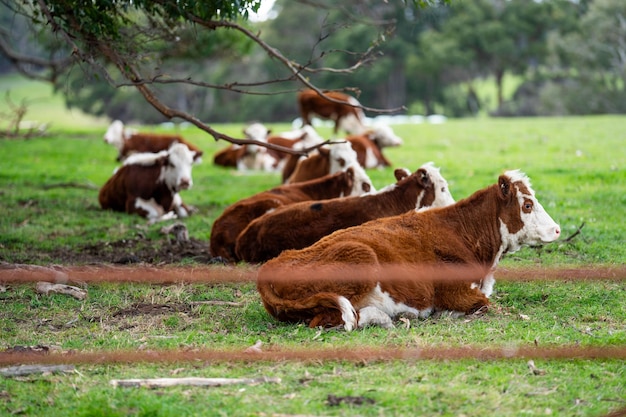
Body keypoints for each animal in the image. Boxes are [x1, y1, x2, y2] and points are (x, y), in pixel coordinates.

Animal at [256, 168, 560, 328]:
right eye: (527, 204)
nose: (557, 229)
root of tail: (272, 267)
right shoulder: (458, 291)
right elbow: (486, 305)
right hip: (361, 258)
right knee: (331, 319)